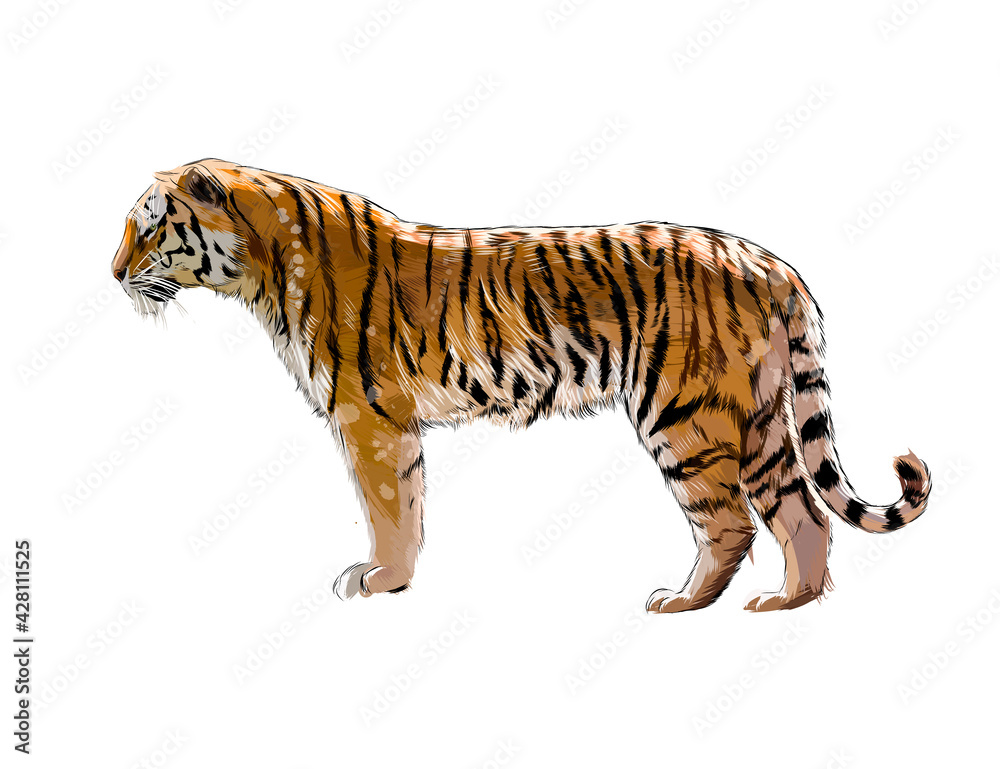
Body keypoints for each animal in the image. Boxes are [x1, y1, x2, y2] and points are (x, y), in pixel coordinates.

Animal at [110, 158, 931, 612]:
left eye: (149, 228)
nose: (114, 275)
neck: (263, 267)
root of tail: (769, 263)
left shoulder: (368, 417)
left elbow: (387, 508)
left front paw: (380, 579)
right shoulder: (385, 423)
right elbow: (405, 503)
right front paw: (392, 578)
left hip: (684, 416)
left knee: (731, 521)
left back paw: (679, 602)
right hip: (757, 419)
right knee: (804, 514)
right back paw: (786, 603)